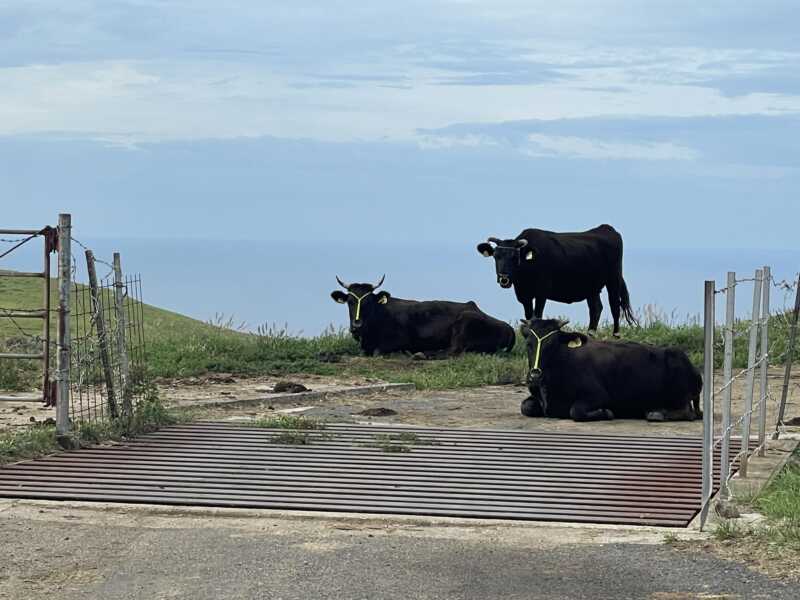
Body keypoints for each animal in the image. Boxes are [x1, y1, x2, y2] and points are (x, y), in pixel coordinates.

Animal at [330, 276, 512, 356]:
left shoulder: (400, 340)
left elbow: (377, 351)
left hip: (465, 322)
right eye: (350, 302)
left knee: (452, 351)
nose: (357, 325)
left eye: (368, 302)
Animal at [478, 225, 640, 338]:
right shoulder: (524, 295)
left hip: (614, 278)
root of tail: (606, 228)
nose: (503, 278)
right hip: (591, 286)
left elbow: (537, 315)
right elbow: (529, 315)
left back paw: (616, 334)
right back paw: (590, 333)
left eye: (514, 257)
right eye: (496, 256)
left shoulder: (542, 292)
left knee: (614, 305)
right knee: (596, 308)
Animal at [520, 318, 700, 422]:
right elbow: (525, 407)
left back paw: (656, 413)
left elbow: (576, 411)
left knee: (688, 412)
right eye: (528, 344)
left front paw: (606, 412)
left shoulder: (598, 394)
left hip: (681, 391)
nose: (535, 376)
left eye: (553, 344)